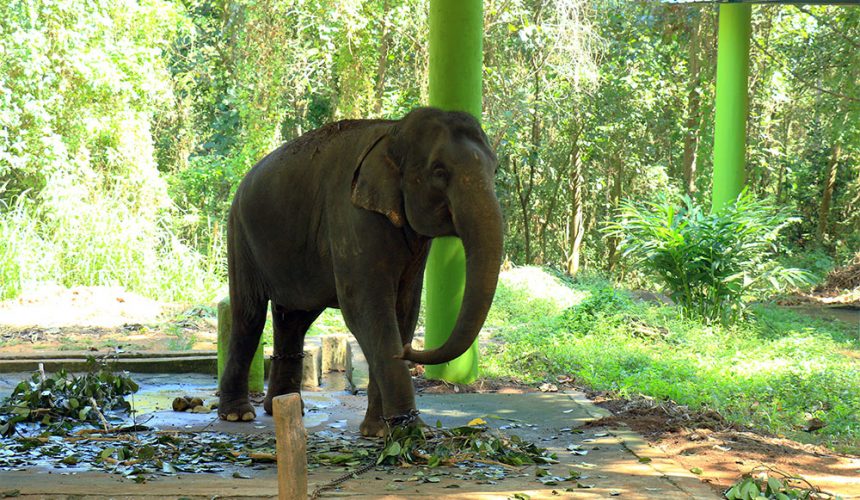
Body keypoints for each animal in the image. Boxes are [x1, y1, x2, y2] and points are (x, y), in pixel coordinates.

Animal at [217, 106, 504, 438]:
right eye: (439, 172)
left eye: (495, 171)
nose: (408, 350)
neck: (394, 132)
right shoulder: (351, 214)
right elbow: (366, 306)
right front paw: (410, 430)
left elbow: (404, 308)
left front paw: (380, 430)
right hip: (239, 232)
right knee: (249, 314)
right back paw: (238, 414)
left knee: (294, 318)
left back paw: (284, 408)